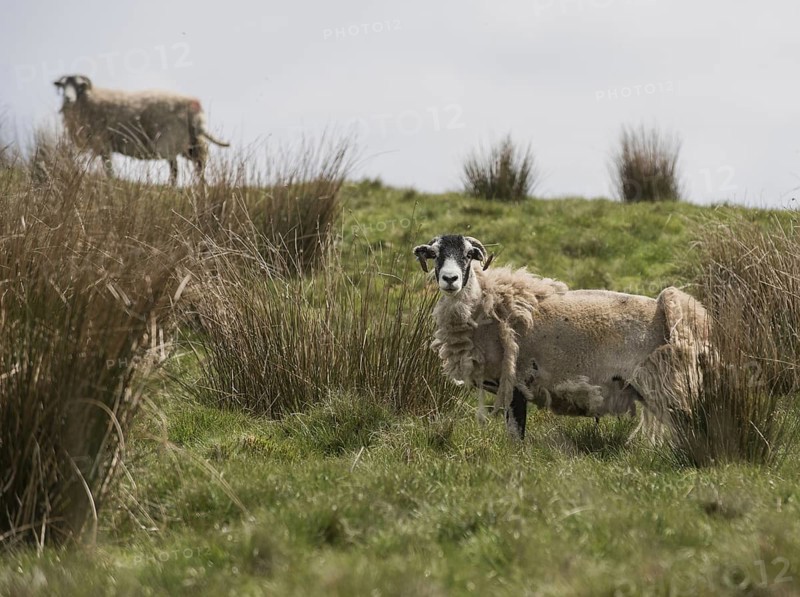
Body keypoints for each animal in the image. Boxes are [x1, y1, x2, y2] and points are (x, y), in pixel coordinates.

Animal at [53, 74, 229, 184]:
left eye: (79, 86)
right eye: (64, 86)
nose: (68, 98)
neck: (89, 100)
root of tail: (194, 112)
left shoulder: (103, 143)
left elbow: (108, 168)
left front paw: (111, 182)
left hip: (171, 140)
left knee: (175, 169)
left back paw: (172, 187)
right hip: (192, 143)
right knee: (198, 165)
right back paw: (201, 186)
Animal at [413, 234, 710, 441]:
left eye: (468, 255)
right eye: (435, 254)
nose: (450, 279)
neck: (486, 308)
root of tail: (666, 307)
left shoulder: (516, 383)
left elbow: (515, 435)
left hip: (668, 382)